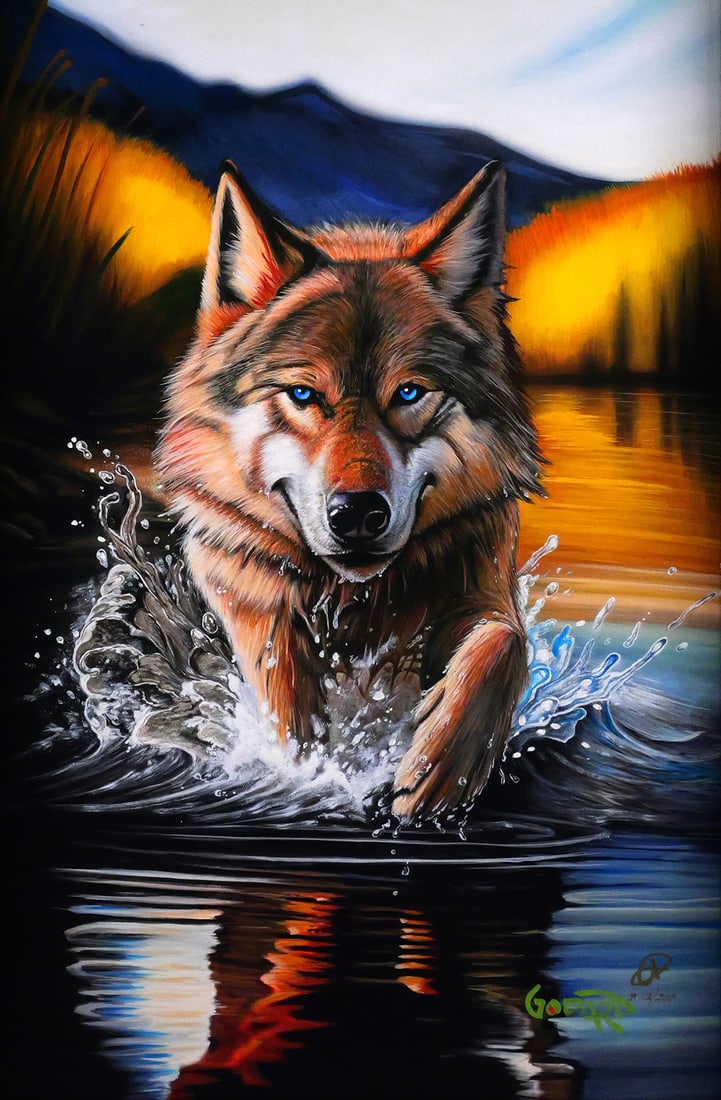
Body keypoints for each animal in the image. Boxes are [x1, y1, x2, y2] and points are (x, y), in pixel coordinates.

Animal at [155, 158, 544, 821]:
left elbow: (501, 646)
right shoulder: (248, 591)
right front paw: (307, 765)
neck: (352, 598)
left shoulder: (485, 580)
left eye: (409, 393)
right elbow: (285, 692)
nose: (358, 513)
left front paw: (440, 769)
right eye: (304, 395)